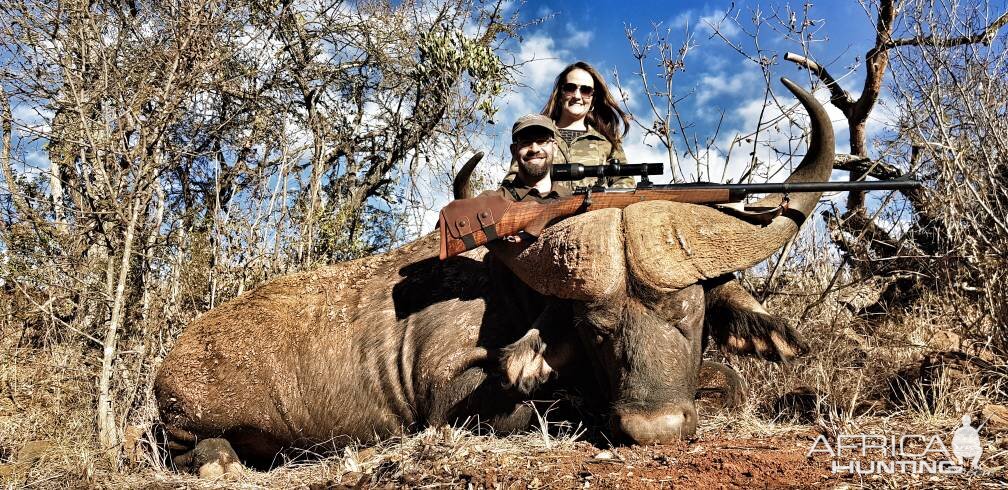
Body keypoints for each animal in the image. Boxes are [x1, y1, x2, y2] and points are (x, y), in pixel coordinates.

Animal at [155, 77, 834, 477]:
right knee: (197, 451)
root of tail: (173, 359)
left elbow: (730, 383)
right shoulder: (451, 396)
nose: (654, 428)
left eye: (691, 314)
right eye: (595, 329)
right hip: (191, 424)